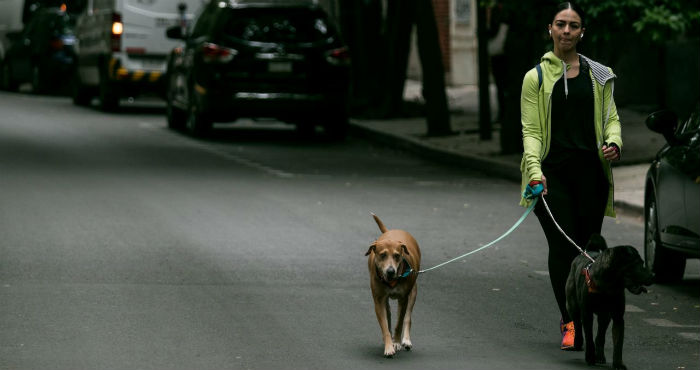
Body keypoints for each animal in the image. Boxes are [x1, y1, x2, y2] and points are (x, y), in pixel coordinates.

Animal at [366, 212, 422, 356]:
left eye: (397, 255)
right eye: (382, 255)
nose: (391, 271)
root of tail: (390, 231)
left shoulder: (403, 298)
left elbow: (400, 322)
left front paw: (396, 342)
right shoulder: (378, 300)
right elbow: (385, 325)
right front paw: (389, 345)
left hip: (413, 291)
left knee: (407, 317)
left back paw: (406, 340)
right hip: (385, 299)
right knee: (389, 314)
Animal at [568, 236, 652, 368]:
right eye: (639, 263)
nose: (653, 276)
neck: (608, 286)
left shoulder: (618, 318)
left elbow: (618, 343)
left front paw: (618, 363)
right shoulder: (587, 314)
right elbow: (589, 337)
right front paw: (590, 357)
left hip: (605, 316)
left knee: (600, 336)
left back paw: (600, 356)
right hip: (572, 305)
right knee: (577, 324)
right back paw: (578, 343)